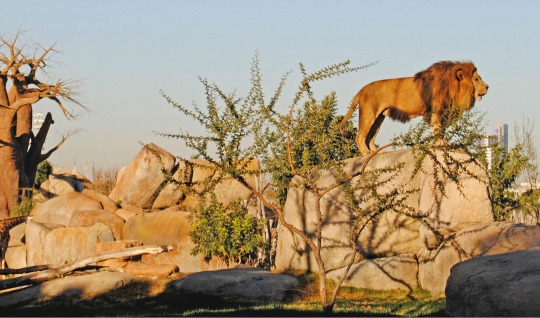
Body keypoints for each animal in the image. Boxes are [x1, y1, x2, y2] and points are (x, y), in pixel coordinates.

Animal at [342, 60, 490, 155]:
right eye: (477, 79)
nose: (488, 87)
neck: (454, 87)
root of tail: (360, 91)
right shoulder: (437, 110)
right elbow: (438, 128)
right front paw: (441, 143)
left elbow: (441, 129)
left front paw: (442, 142)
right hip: (369, 113)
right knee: (360, 136)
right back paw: (365, 153)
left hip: (379, 117)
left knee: (371, 137)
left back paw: (377, 152)